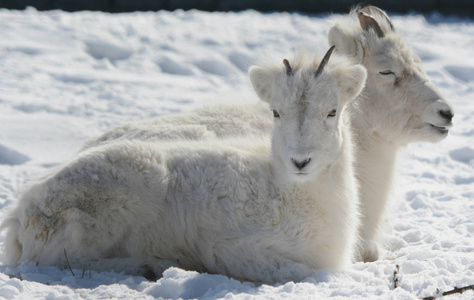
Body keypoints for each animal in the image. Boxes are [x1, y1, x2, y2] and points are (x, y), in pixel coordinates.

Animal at [1, 47, 368, 284]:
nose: (300, 161)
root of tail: (20, 216)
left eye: (332, 111)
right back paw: (153, 266)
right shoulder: (229, 248)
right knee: (73, 261)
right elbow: (302, 273)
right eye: (276, 112)